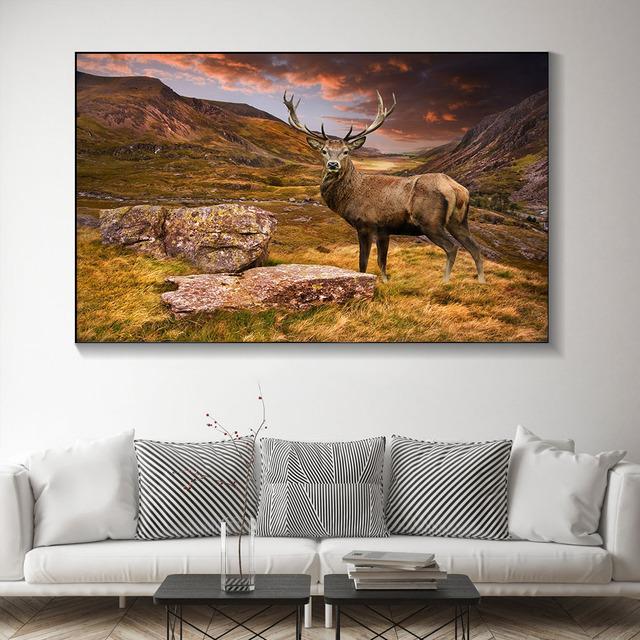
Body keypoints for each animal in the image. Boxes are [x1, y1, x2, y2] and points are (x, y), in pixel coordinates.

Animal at [283, 90, 485, 284]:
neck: (351, 195)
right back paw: (481, 281)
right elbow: (382, 261)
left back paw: (445, 281)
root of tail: (456, 189)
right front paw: (385, 281)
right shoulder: (384, 230)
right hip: (458, 221)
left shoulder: (365, 224)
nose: (333, 164)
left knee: (452, 248)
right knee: (475, 248)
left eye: (346, 151)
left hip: (431, 222)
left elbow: (363, 262)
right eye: (324, 151)